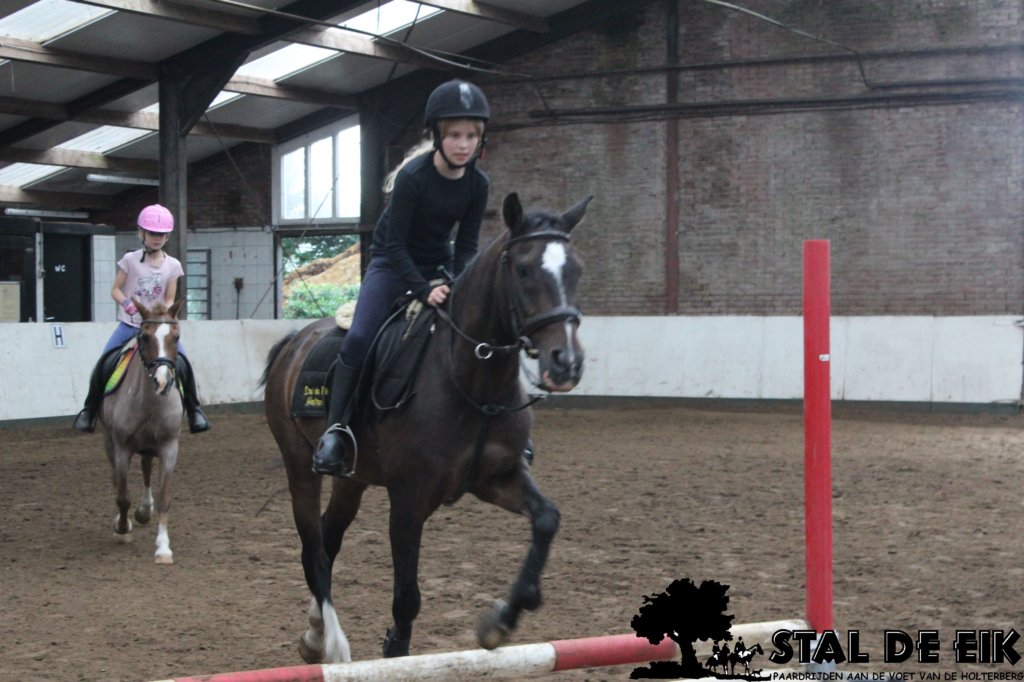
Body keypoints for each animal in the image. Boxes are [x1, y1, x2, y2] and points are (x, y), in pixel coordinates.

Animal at [99, 298, 184, 564]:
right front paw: (122, 528)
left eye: (176, 337)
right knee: (117, 479)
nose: (162, 382)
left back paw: (145, 510)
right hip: (110, 442)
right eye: (145, 337)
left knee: (146, 468)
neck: (149, 402)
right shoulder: (122, 448)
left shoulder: (169, 447)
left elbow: (164, 498)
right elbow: (122, 495)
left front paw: (163, 548)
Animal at [261, 192, 591, 663]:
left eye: (576, 269)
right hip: (299, 466)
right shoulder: (409, 498)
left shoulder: (497, 477)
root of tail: (294, 341)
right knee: (313, 546)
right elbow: (406, 597)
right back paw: (334, 643)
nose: (566, 364)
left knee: (328, 536)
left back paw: (314, 633)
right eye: (524, 269)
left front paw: (500, 622)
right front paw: (395, 647)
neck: (473, 382)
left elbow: (546, 519)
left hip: (352, 479)